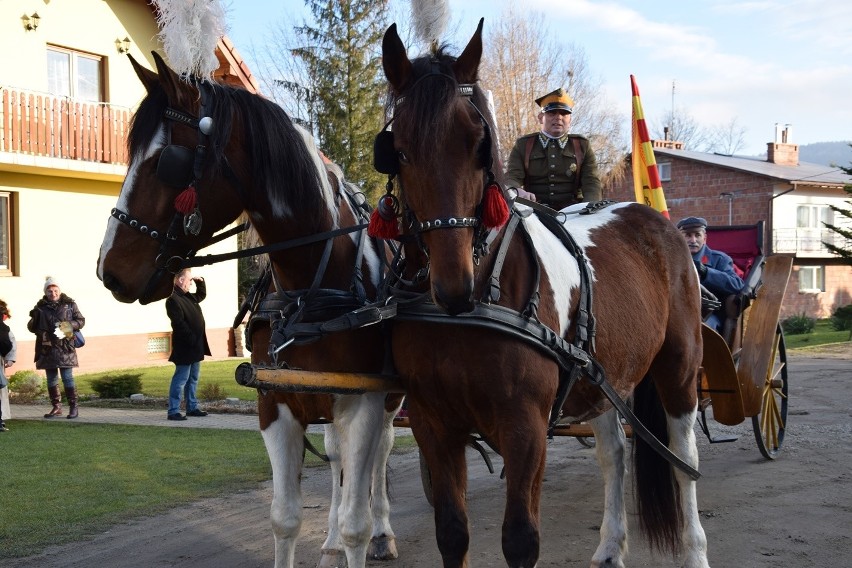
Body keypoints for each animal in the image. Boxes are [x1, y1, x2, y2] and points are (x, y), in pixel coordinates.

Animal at [98, 52, 404, 568]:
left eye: (167, 162)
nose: (108, 269)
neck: (310, 288)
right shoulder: (274, 401)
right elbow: (285, 518)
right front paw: (323, 536)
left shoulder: (362, 400)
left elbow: (357, 523)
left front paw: (366, 533)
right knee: (339, 460)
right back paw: (329, 540)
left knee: (381, 450)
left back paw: (383, 529)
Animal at [376, 20, 708, 564]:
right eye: (398, 150)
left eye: (479, 143)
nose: (453, 284)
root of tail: (655, 219)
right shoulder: (433, 424)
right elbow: (452, 531)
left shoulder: (526, 428)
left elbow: (520, 539)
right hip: (604, 376)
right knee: (615, 453)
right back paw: (610, 546)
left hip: (679, 370)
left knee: (683, 461)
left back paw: (694, 548)